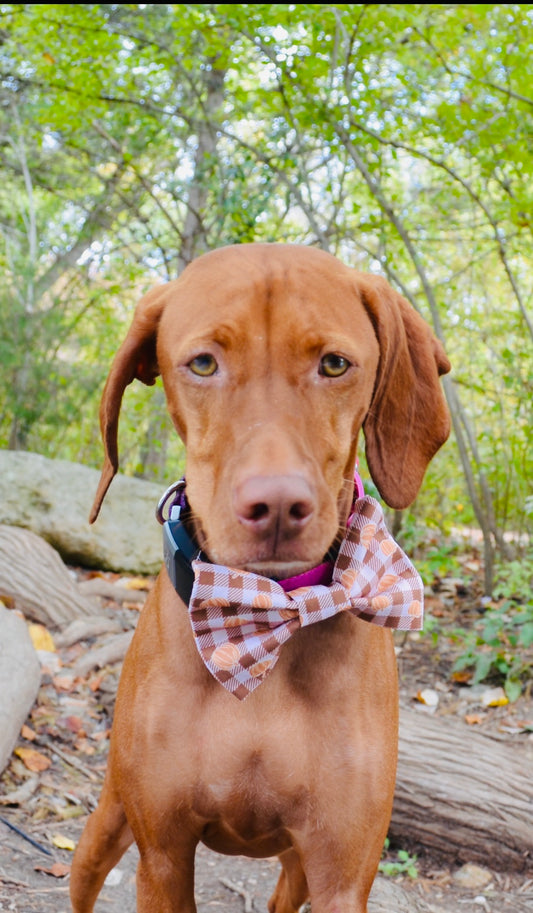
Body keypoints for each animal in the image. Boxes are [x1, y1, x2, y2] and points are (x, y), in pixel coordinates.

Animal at [69, 242, 448, 912]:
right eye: (202, 363)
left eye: (334, 364)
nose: (275, 507)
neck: (266, 616)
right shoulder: (162, 858)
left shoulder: (341, 877)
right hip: (109, 818)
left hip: (297, 866)